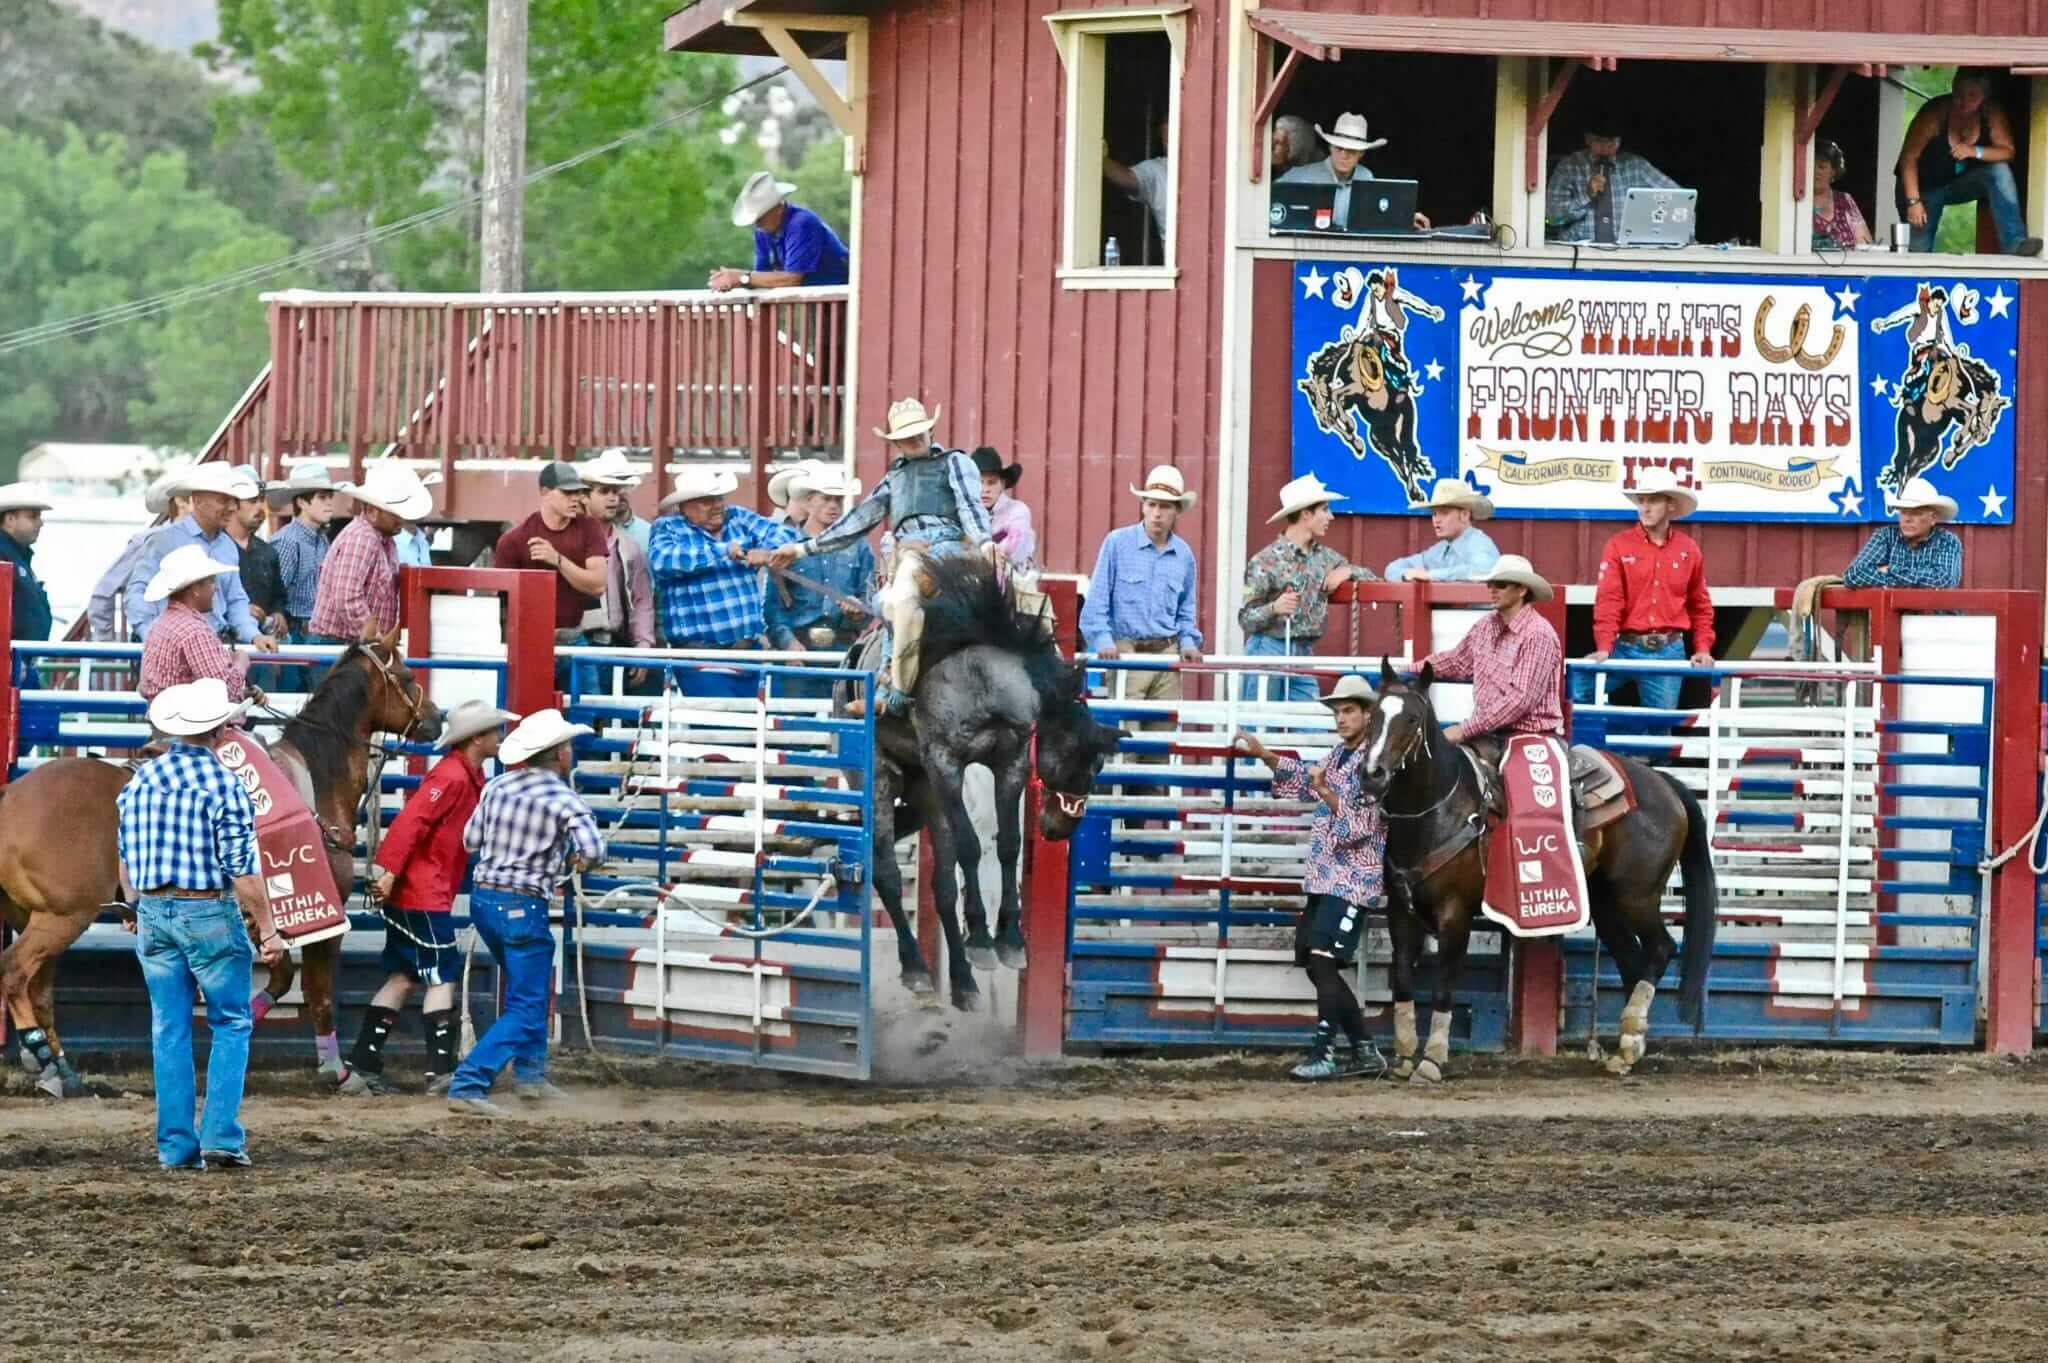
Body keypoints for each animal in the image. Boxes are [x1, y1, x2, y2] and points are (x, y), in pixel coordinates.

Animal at [0, 626, 440, 1096]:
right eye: (407, 675)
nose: (436, 719)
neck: (313, 777)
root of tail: (12, 796)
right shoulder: (323, 918)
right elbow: (316, 993)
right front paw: (337, 1071)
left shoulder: (261, 919)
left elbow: (281, 977)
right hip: (64, 915)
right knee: (15, 973)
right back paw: (42, 1057)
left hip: (34, 914)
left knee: (38, 990)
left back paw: (61, 1072)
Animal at [856, 552, 1130, 1006]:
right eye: (1077, 762)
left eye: (1100, 765)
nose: (1063, 827)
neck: (981, 681)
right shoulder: (946, 765)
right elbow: (970, 845)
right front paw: (985, 938)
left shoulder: (1011, 762)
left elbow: (1008, 845)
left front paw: (1009, 940)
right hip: (881, 778)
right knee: (889, 876)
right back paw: (916, 968)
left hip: (924, 789)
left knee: (942, 885)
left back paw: (963, 982)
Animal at [1368, 658, 1720, 1080]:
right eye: (1374, 714)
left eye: (1412, 718)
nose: (1372, 773)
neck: (1438, 811)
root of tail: (1665, 784)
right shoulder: (1400, 909)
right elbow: (1403, 980)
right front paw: (1405, 1057)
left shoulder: (1455, 913)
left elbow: (1444, 984)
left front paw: (1432, 1060)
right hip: (1604, 901)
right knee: (1633, 959)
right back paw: (1627, 1048)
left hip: (1637, 895)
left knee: (1661, 948)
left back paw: (1630, 1041)